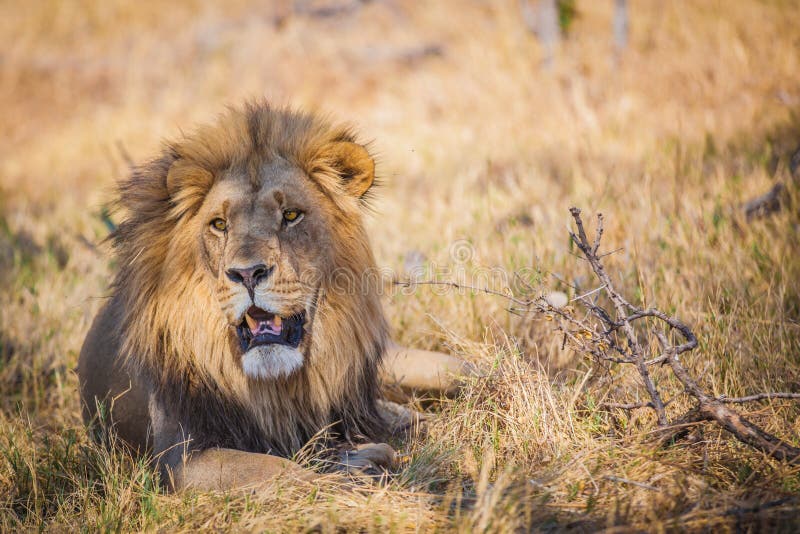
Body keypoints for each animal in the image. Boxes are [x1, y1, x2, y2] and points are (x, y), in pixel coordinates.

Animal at [78, 101, 471, 491]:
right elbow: (284, 471)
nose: (247, 273)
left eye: (291, 215)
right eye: (219, 224)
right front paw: (357, 469)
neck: (280, 386)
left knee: (456, 371)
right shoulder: (182, 460)